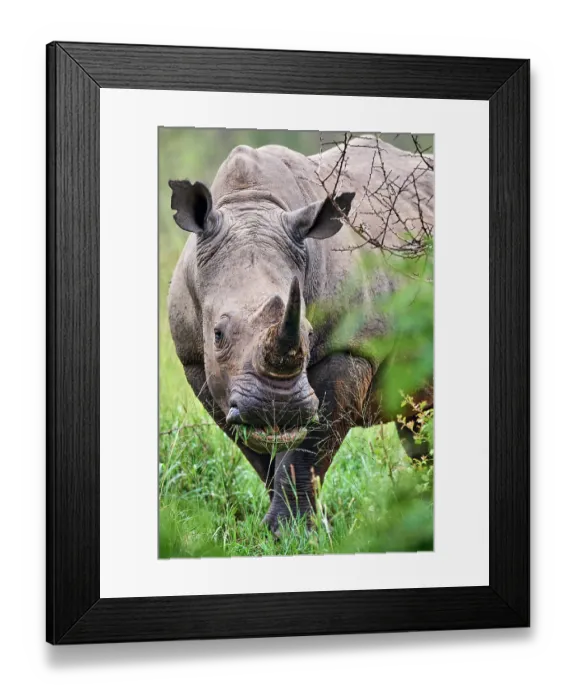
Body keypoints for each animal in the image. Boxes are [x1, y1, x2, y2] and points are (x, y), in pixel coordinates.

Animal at [168, 135, 434, 535]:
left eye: (307, 332)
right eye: (217, 334)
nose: (278, 408)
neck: (252, 204)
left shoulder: (349, 349)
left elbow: (309, 448)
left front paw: (292, 533)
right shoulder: (195, 361)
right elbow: (259, 454)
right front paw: (293, 530)